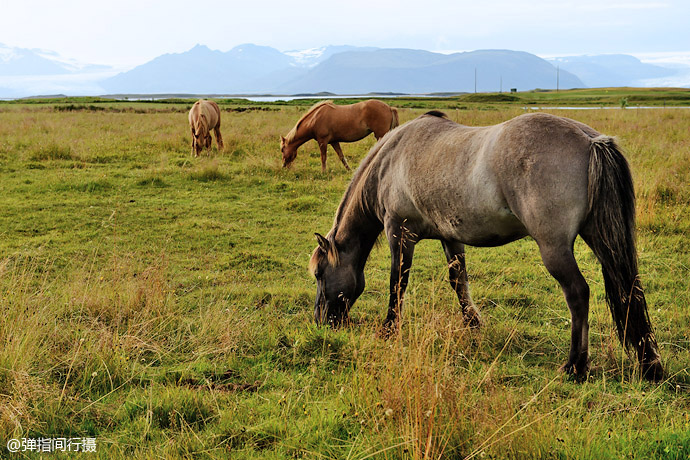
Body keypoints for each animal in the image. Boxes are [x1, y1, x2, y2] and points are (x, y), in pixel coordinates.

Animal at [308, 110, 660, 380]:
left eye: (319, 274)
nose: (322, 322)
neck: (391, 159)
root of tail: (590, 140)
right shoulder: (450, 236)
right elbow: (458, 281)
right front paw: (474, 324)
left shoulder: (400, 232)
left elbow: (398, 282)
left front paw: (389, 329)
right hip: (602, 239)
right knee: (629, 291)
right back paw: (650, 365)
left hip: (554, 248)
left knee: (578, 294)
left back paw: (575, 366)